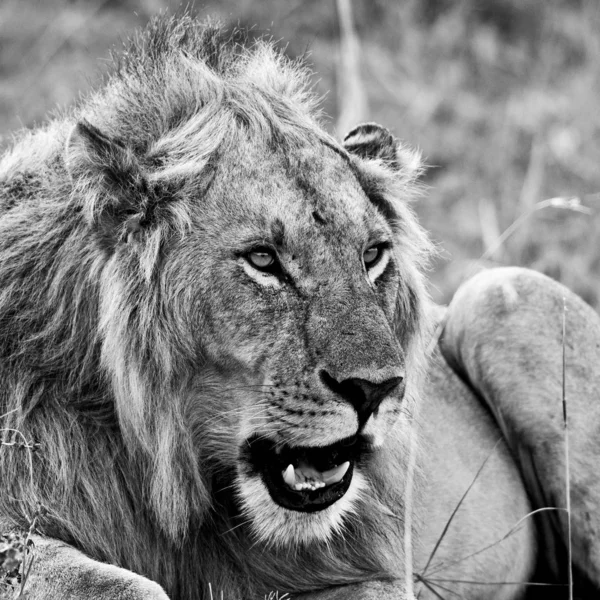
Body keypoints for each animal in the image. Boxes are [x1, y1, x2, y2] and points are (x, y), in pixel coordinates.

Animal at [0, 14, 596, 600]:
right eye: (263, 259)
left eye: (373, 255)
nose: (375, 390)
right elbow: (113, 585)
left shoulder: (369, 572)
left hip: (501, 293)